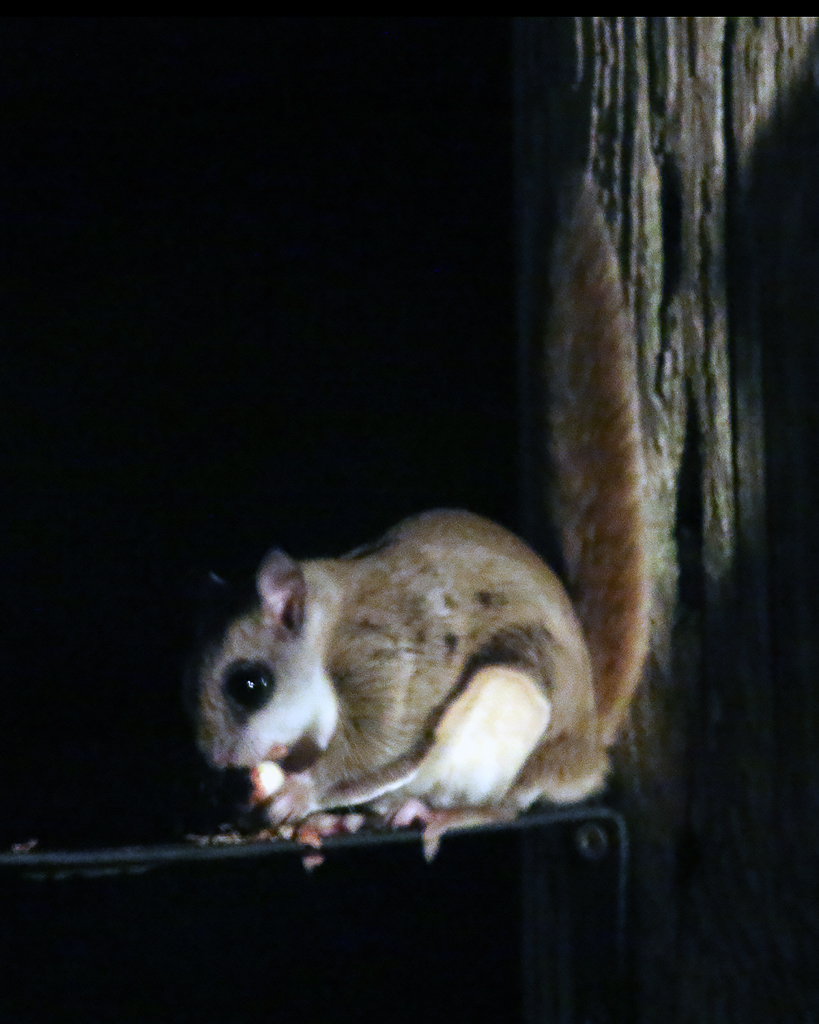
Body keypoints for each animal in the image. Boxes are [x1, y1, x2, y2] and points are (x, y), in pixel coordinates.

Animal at [190, 176, 649, 860]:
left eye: (250, 686)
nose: (218, 767)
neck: (326, 629)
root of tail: (587, 743)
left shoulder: (386, 662)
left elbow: (378, 747)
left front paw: (300, 794)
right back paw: (356, 821)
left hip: (517, 687)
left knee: (511, 803)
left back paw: (448, 815)